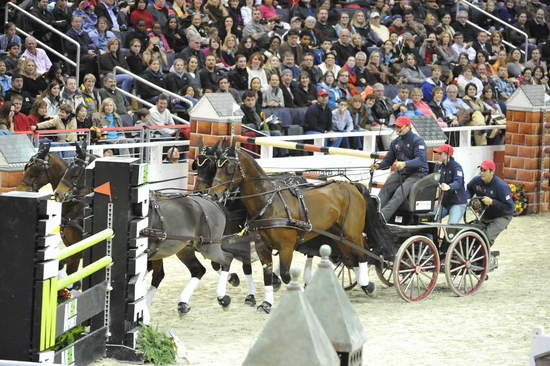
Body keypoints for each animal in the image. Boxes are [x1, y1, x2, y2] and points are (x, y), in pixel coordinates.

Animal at [209, 144, 378, 314]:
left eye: (230, 167)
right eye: (216, 166)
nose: (214, 194)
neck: (269, 203)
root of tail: (351, 186)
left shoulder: (286, 247)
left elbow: (285, 275)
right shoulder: (261, 247)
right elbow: (267, 274)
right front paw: (266, 304)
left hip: (352, 232)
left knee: (362, 255)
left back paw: (367, 285)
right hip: (339, 235)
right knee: (350, 259)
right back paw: (362, 284)